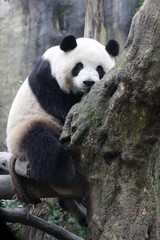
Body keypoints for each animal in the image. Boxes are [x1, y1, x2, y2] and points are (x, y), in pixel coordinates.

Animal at [6, 34, 119, 199]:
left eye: (99, 69)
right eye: (78, 66)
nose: (88, 82)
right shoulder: (47, 78)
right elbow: (62, 105)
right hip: (27, 125)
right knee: (42, 144)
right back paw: (63, 168)